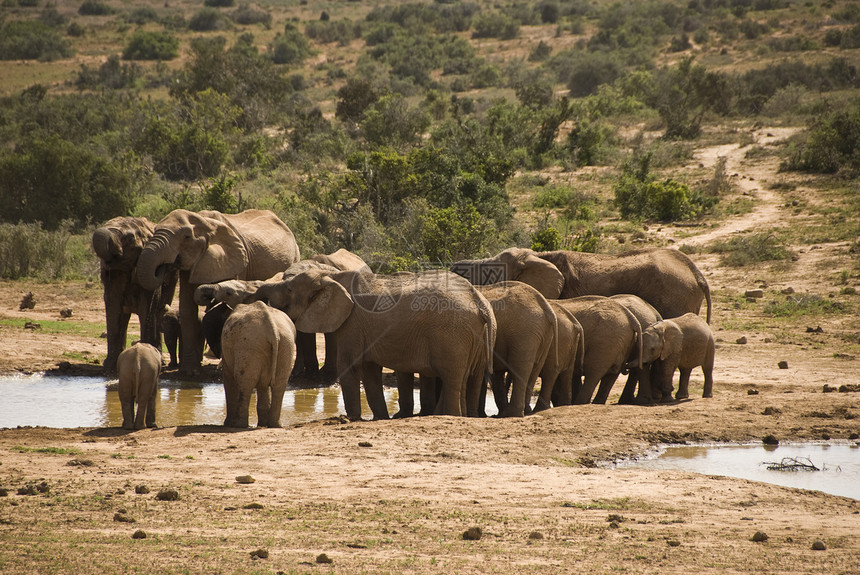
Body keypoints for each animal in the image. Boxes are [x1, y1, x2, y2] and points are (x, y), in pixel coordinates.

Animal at [92, 216, 178, 374]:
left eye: (130, 238)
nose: (164, 265)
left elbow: (148, 305)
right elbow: (114, 306)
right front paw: (110, 367)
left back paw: (160, 359)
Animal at [133, 209, 298, 376]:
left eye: (186, 237)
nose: (164, 266)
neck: (205, 222)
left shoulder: (237, 261)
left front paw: (219, 368)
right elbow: (187, 308)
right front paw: (189, 372)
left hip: (295, 257)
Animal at [252, 268, 494, 420]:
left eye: (290, 289)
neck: (330, 276)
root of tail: (479, 301)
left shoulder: (351, 323)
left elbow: (349, 367)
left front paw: (353, 419)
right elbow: (369, 371)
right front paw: (379, 418)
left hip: (451, 335)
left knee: (452, 378)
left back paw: (450, 416)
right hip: (470, 337)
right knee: (467, 378)